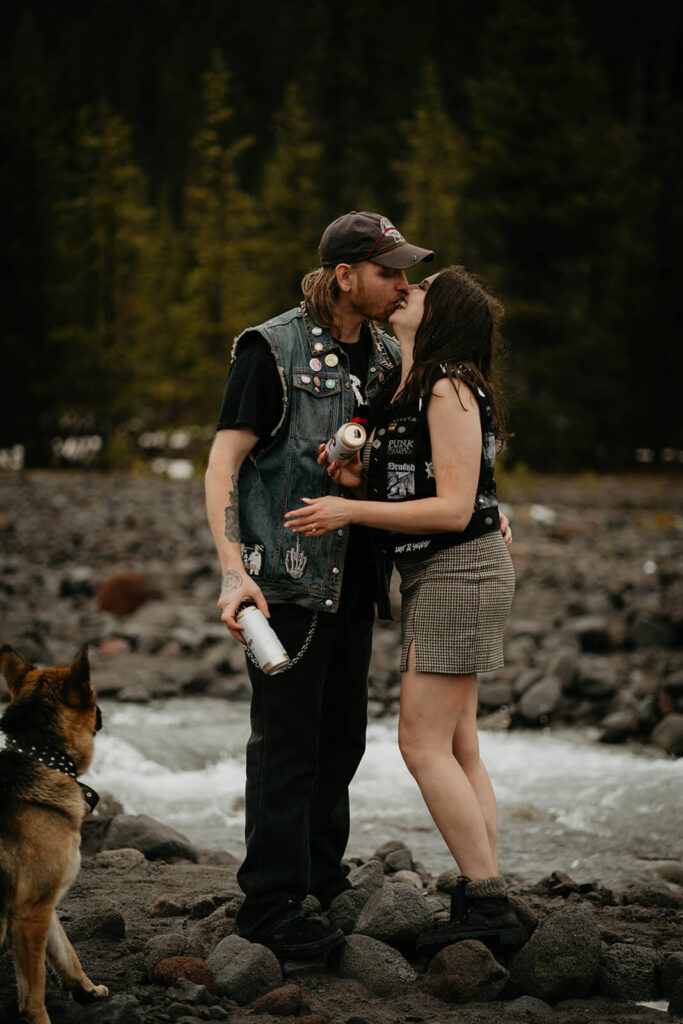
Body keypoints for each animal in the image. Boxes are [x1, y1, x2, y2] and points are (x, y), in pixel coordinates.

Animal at [0, 647, 108, 1024]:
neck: (42, 757)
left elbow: (65, 949)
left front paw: (85, 988)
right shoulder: (30, 910)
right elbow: (34, 988)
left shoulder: (43, 903)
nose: (103, 713)